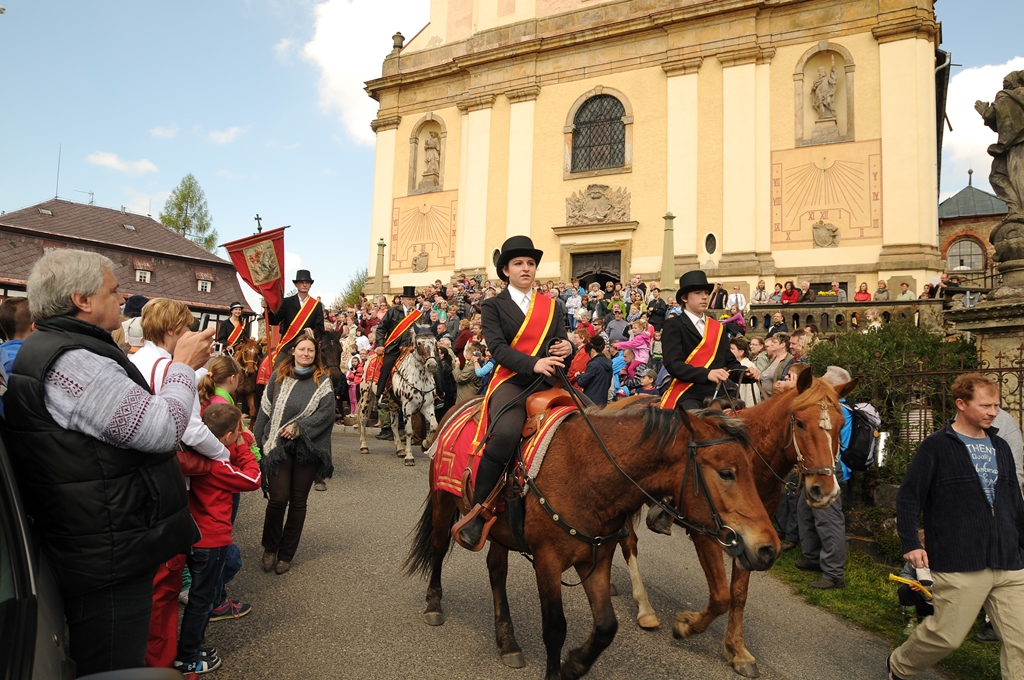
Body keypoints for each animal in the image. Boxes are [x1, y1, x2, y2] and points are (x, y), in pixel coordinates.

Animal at [403, 401, 778, 675]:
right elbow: (555, 629)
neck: (586, 473)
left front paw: (574, 664)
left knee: (496, 569)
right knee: (438, 548)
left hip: (498, 531)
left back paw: (508, 641)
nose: (768, 548)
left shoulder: (596, 560)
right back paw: (434, 605)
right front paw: (558, 671)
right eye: (727, 472)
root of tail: (456, 406)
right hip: (443, 504)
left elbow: (606, 627)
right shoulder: (548, 562)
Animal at [606, 368, 847, 675]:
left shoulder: (754, 540)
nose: (824, 491)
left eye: (841, 425)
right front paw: (686, 626)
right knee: (628, 543)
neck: (751, 461)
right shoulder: (707, 531)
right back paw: (644, 608)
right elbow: (721, 595)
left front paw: (737, 650)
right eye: (801, 423)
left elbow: (738, 594)